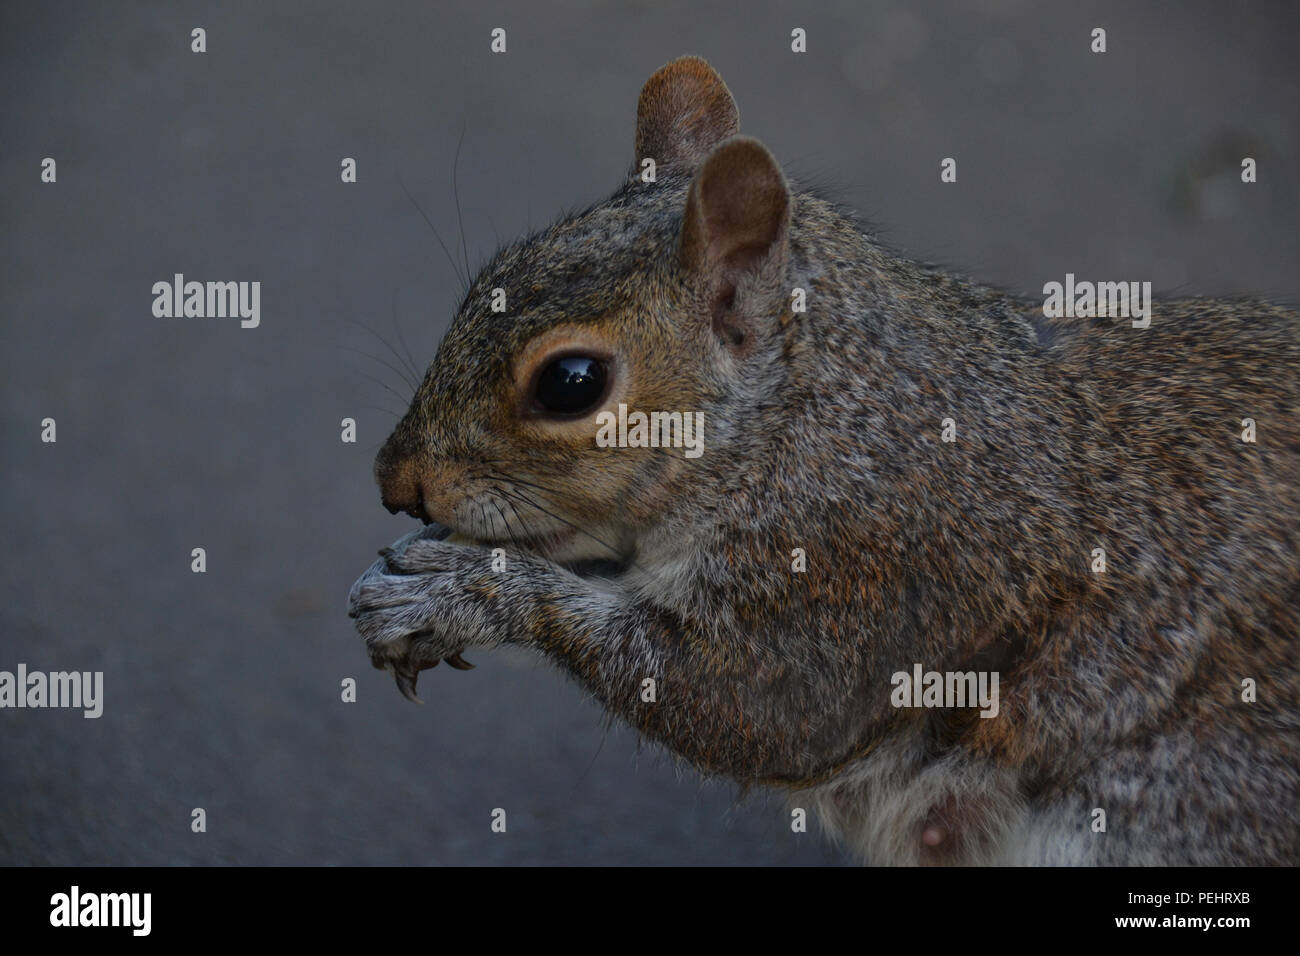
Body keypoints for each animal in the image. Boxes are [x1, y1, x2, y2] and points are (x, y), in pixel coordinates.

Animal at [348, 57, 1300, 868]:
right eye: (489, 279)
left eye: (570, 383)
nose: (397, 484)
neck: (800, 416)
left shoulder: (860, 571)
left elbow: (756, 709)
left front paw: (463, 592)